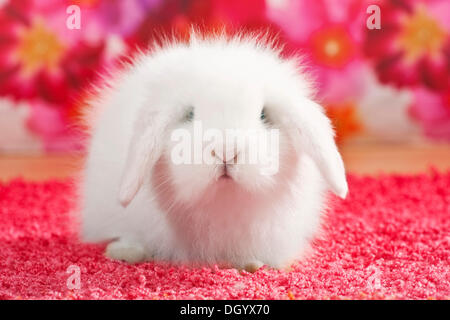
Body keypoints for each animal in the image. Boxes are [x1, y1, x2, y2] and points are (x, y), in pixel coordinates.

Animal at [81, 32, 348, 272]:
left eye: (263, 115)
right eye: (190, 114)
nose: (226, 151)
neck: (224, 203)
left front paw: (253, 264)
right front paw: (124, 251)